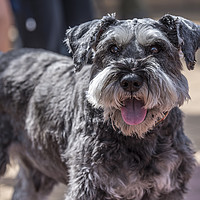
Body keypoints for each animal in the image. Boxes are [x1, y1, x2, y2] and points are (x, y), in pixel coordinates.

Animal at [0, 13, 198, 198]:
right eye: (113, 48)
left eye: (156, 48)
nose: (130, 81)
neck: (137, 136)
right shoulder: (89, 186)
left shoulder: (168, 187)